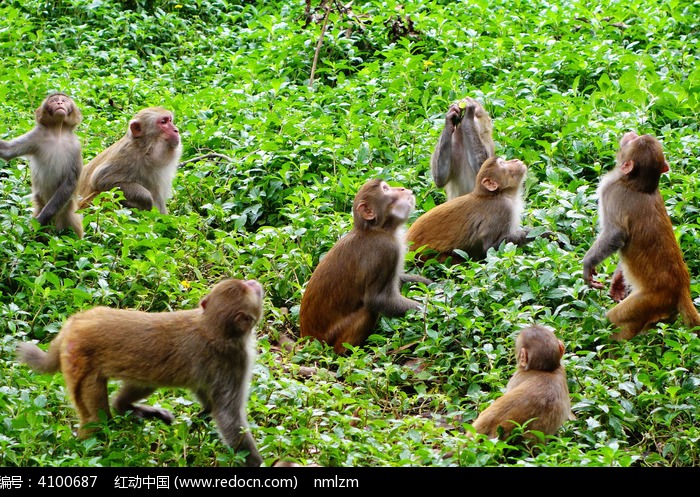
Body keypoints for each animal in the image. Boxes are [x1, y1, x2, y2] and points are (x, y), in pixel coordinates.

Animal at [19, 278, 266, 466]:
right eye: (248, 287)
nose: (254, 282)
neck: (212, 328)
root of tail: (74, 323)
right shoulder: (234, 361)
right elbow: (228, 416)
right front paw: (256, 461)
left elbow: (207, 396)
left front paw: (203, 415)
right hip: (79, 362)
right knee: (96, 418)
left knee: (144, 383)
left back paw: (126, 407)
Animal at [298, 178, 430, 352]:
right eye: (385, 189)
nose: (402, 188)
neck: (375, 229)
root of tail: (307, 341)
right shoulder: (386, 249)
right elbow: (377, 300)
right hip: (330, 341)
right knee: (368, 311)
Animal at [580, 130, 700, 340]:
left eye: (635, 140)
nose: (632, 132)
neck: (639, 186)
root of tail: (682, 288)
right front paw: (618, 282)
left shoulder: (612, 192)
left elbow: (615, 235)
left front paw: (588, 265)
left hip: (648, 301)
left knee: (615, 320)